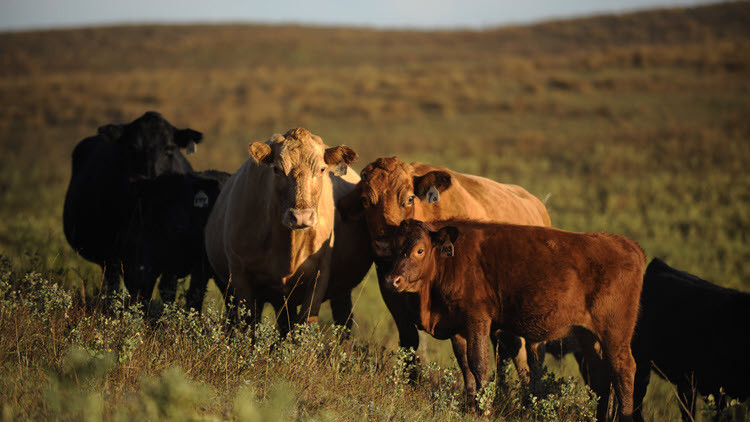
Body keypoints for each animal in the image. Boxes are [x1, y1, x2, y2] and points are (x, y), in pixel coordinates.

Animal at [124, 170, 230, 311]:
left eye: (189, 201)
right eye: (161, 202)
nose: (180, 227)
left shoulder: (200, 265)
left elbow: (194, 295)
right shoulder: (149, 263)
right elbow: (153, 291)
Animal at [204, 128, 371, 336]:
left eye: (322, 169)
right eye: (276, 169)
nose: (301, 216)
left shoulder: (319, 277)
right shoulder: (240, 275)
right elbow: (248, 325)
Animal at [381, 219, 645, 421]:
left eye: (419, 250)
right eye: (393, 248)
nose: (392, 280)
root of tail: (628, 245)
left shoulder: (478, 317)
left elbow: (478, 363)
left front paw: (484, 411)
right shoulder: (457, 326)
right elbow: (465, 366)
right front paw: (469, 408)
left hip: (615, 333)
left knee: (624, 369)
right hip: (587, 335)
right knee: (600, 375)